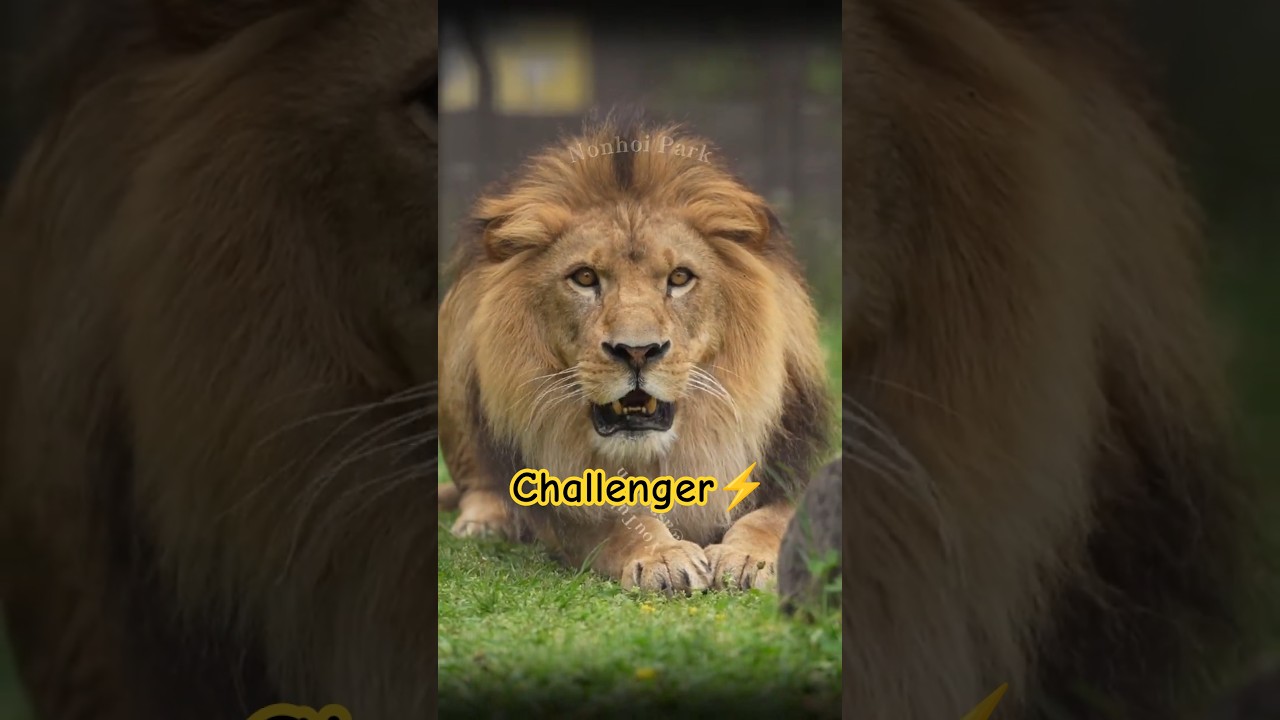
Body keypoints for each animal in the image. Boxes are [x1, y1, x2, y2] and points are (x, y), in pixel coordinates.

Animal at [437, 117, 838, 594]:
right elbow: (617, 522)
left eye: (680, 278)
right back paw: (486, 522)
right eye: (584, 278)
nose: (637, 351)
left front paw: (748, 558)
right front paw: (662, 555)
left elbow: (780, 517)